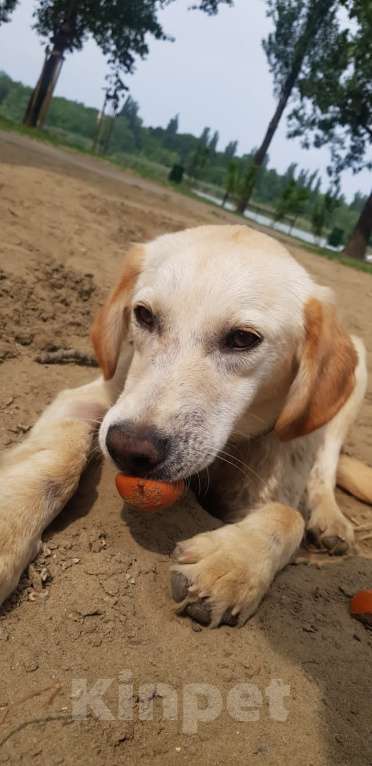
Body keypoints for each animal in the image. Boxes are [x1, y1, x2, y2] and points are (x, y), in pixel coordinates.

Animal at [1, 225, 370, 628]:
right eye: (144, 315)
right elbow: (56, 458)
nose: (129, 448)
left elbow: (287, 516)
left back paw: (330, 520)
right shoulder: (91, 398)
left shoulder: (270, 483)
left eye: (243, 338)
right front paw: (8, 526)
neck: (231, 443)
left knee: (325, 468)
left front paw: (232, 562)